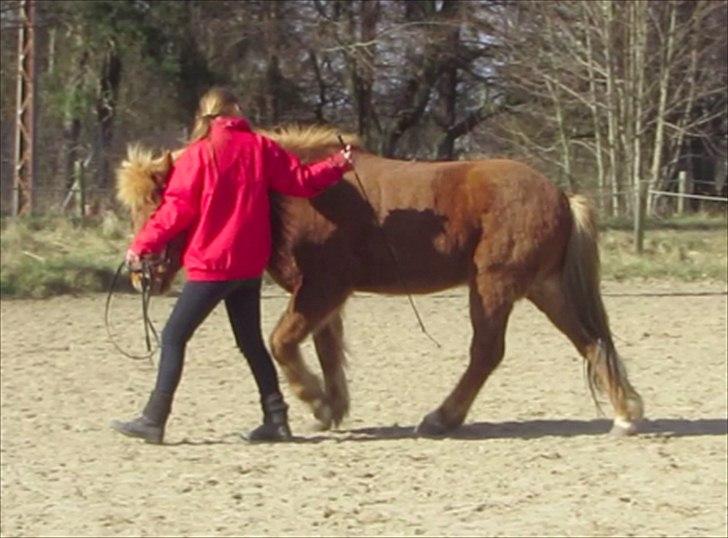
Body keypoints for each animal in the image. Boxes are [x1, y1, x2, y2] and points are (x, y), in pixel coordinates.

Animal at [116, 124, 644, 436]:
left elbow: (282, 343)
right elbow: (325, 350)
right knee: (591, 342)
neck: (296, 192)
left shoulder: (321, 289)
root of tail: (559, 194)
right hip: (544, 289)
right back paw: (625, 414)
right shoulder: (324, 297)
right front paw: (331, 406)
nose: (142, 272)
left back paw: (441, 418)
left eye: (161, 201)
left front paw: (315, 402)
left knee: (487, 354)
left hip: (494, 288)